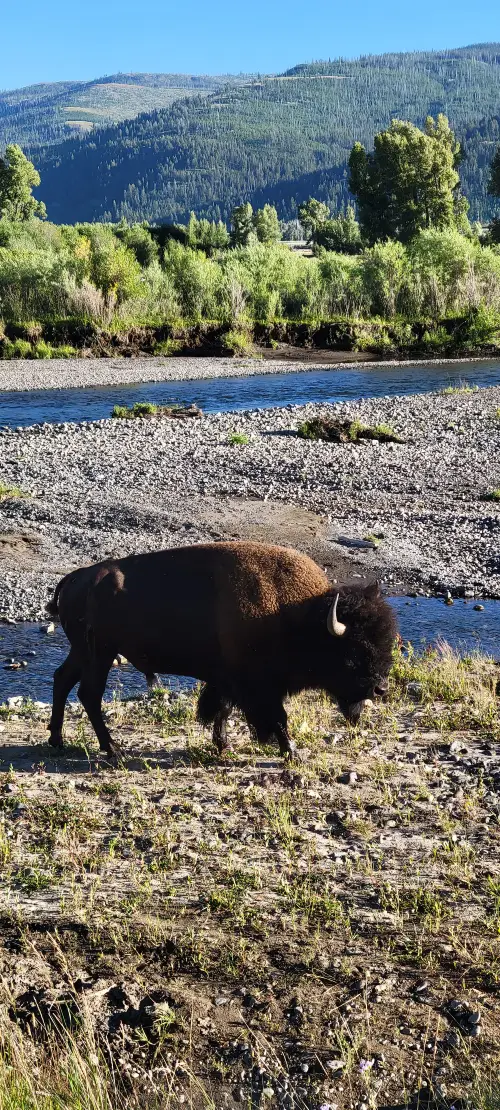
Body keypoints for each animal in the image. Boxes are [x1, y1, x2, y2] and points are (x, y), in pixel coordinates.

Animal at [47, 541, 397, 759]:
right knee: (89, 694)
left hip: (83, 652)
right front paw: (292, 752)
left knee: (62, 680)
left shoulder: (228, 679)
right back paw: (112, 749)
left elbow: (223, 710)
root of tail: (74, 579)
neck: (300, 616)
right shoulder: (258, 686)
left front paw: (223, 745)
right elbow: (277, 718)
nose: (379, 689)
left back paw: (57, 741)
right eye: (353, 651)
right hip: (100, 653)